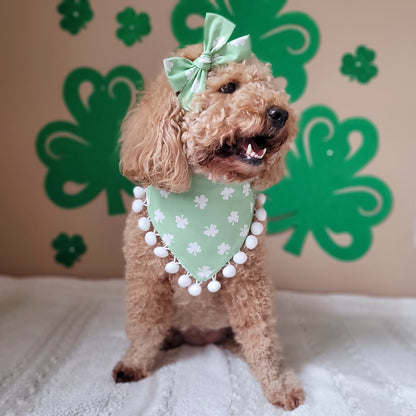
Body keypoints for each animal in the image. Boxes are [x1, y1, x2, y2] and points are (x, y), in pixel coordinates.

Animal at [112, 24, 304, 408]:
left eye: (266, 84)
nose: (280, 113)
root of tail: (199, 336)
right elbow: (143, 327)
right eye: (228, 87)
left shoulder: (249, 285)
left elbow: (261, 339)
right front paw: (135, 363)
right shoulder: (146, 280)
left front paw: (276, 384)